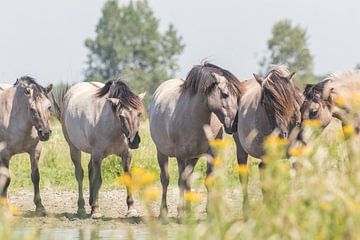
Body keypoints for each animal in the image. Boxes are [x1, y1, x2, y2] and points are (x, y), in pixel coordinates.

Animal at [0, 76, 52, 215]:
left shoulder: (35, 151)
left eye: (49, 107)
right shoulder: (4, 154)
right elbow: (6, 179)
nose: (45, 133)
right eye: (32, 109)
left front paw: (40, 207)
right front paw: (5, 208)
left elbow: (35, 176)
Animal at [52, 78, 145, 218]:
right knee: (80, 174)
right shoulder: (98, 155)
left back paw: (90, 203)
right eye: (121, 116)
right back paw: (82, 207)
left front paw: (131, 209)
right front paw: (96, 210)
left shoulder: (126, 155)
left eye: (139, 114)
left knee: (90, 170)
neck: (113, 128)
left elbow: (127, 178)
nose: (134, 141)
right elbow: (98, 180)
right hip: (74, 148)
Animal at [148, 62, 243, 217]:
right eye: (224, 94)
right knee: (165, 180)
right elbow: (180, 181)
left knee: (188, 181)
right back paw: (164, 212)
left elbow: (207, 181)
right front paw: (180, 213)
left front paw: (210, 212)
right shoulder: (181, 156)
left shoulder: (211, 155)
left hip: (193, 158)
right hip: (161, 153)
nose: (234, 124)